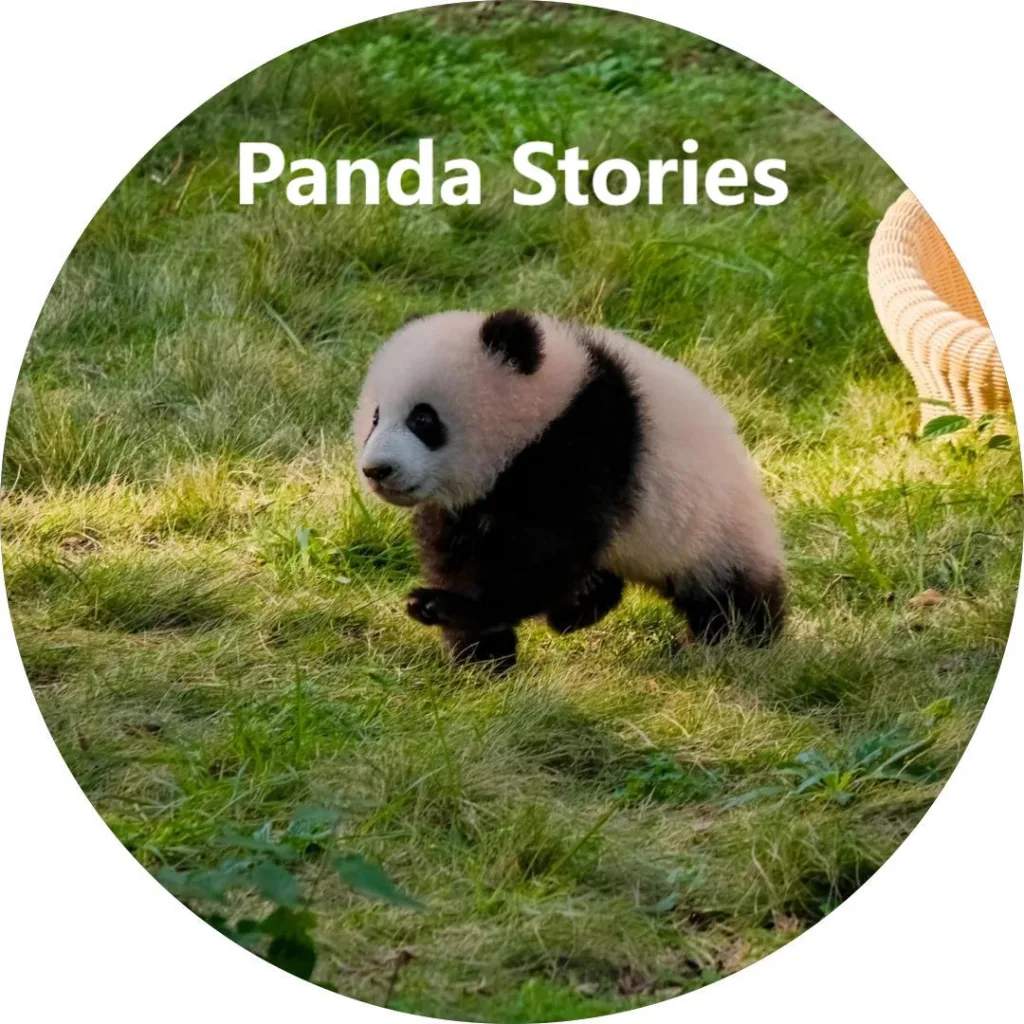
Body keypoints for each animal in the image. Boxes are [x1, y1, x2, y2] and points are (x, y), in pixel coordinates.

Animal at [352, 309, 785, 671]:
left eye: (422, 419)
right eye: (375, 418)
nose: (377, 470)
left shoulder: (585, 441)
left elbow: (542, 553)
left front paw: (443, 605)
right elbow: (454, 550)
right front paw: (481, 655)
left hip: (715, 529)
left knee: (732, 598)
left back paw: (735, 642)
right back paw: (581, 606)